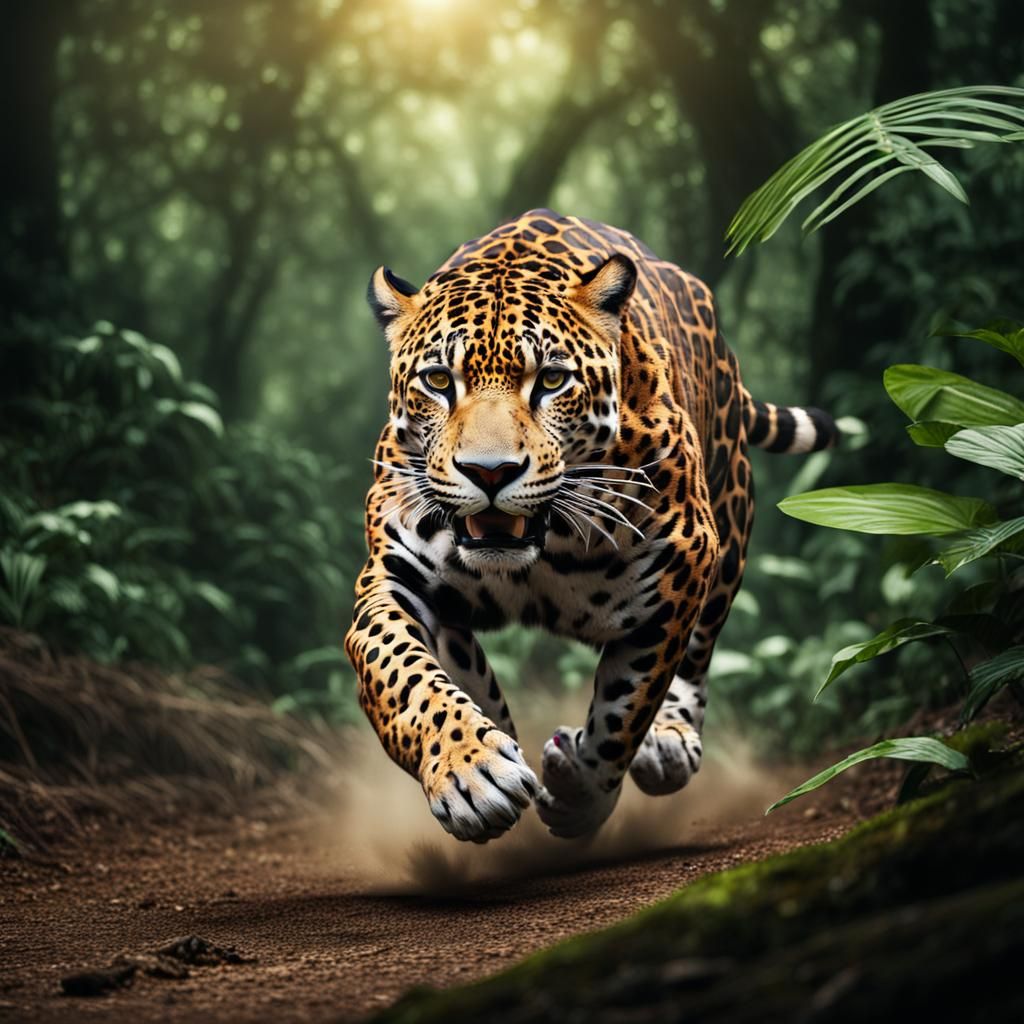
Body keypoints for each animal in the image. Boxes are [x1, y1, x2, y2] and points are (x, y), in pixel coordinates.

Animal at [345, 209, 837, 842]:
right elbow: (402, 673)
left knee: (698, 654)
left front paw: (581, 791)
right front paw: (471, 770)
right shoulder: (392, 579)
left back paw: (668, 744)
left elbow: (626, 706)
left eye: (552, 381)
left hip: (730, 523)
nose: (489, 471)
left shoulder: (678, 570)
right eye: (438, 381)